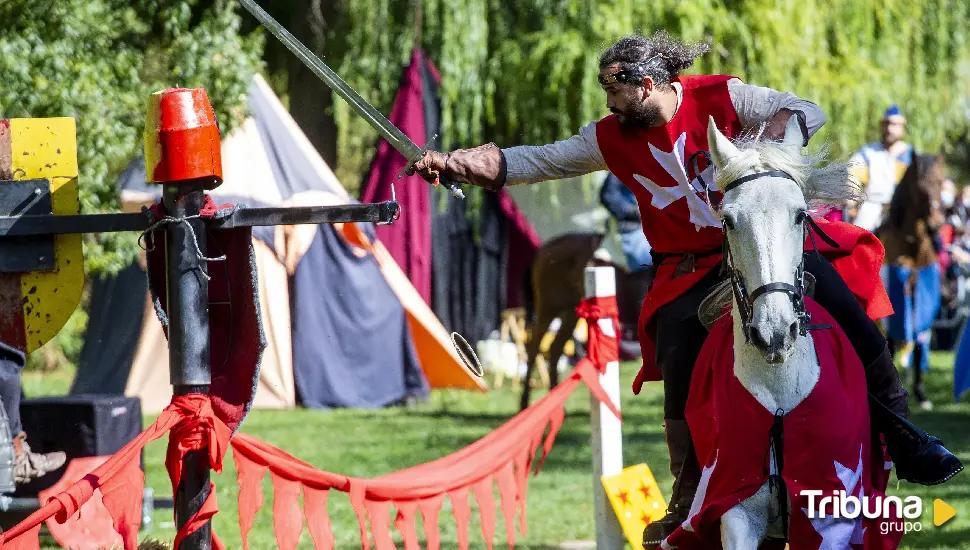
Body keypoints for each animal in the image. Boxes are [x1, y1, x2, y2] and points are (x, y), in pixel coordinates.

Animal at [516, 232, 652, 410]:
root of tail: (544, 249)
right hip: (548, 308)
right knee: (533, 349)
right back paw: (524, 403)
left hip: (570, 312)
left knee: (555, 348)